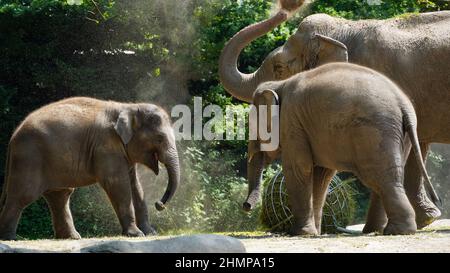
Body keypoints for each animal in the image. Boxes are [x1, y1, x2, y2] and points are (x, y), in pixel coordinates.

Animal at [0, 96, 179, 239]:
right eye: (159, 138)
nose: (159, 204)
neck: (129, 107)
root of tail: (13, 136)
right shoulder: (105, 146)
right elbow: (118, 185)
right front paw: (136, 234)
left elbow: (136, 186)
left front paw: (150, 233)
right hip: (29, 157)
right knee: (23, 195)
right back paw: (11, 238)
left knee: (60, 195)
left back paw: (71, 237)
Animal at [244, 62, 438, 235]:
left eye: (252, 127)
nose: (246, 206)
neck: (279, 85)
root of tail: (404, 104)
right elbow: (321, 176)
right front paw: (315, 233)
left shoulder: (292, 121)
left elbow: (299, 169)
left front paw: (301, 233)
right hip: (399, 135)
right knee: (389, 176)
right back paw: (388, 230)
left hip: (374, 132)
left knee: (381, 178)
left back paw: (396, 231)